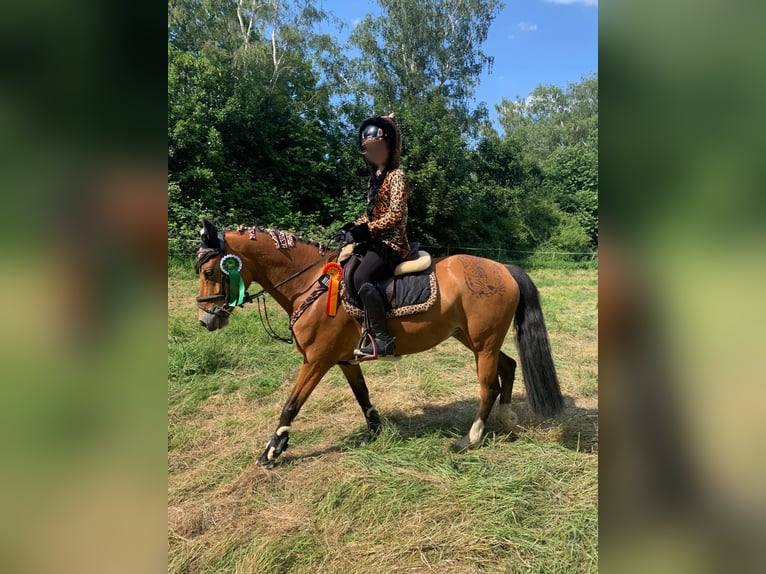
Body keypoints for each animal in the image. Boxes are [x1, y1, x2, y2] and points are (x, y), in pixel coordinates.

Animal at [194, 219, 563, 468]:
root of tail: (504, 270)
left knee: (488, 385)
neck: (312, 283)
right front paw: (375, 431)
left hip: (483, 343)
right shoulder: (344, 359)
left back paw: (470, 438)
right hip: (472, 339)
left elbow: (291, 404)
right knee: (508, 367)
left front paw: (272, 451)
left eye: (210, 271)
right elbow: (362, 395)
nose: (206, 320)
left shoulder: (316, 360)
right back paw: (506, 418)